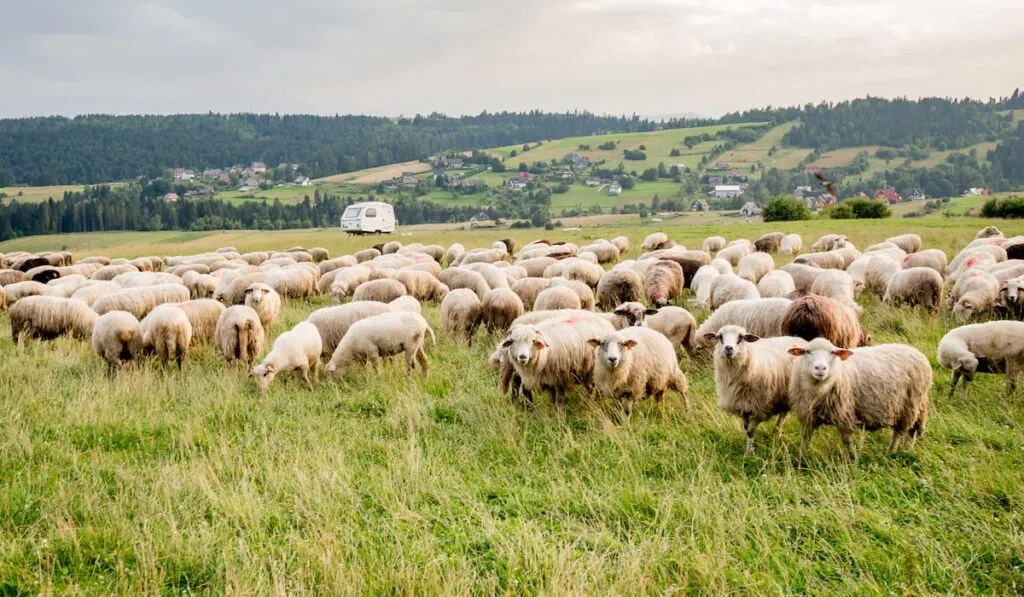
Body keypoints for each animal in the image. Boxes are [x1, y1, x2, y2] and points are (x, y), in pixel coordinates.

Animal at [708, 325, 802, 454]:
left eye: (741, 337)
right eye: (720, 337)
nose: (728, 348)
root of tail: (799, 339)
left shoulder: (759, 407)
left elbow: (750, 431)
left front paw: (748, 454)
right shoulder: (743, 405)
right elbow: (746, 428)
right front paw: (750, 449)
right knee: (783, 413)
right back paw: (776, 433)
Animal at [786, 337, 933, 460]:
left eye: (833, 352)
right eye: (807, 351)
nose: (820, 368)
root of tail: (916, 352)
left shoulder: (844, 414)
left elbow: (847, 440)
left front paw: (854, 458)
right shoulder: (808, 415)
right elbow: (805, 437)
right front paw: (801, 458)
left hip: (909, 404)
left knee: (900, 431)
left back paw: (891, 451)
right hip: (916, 404)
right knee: (912, 430)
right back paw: (907, 450)